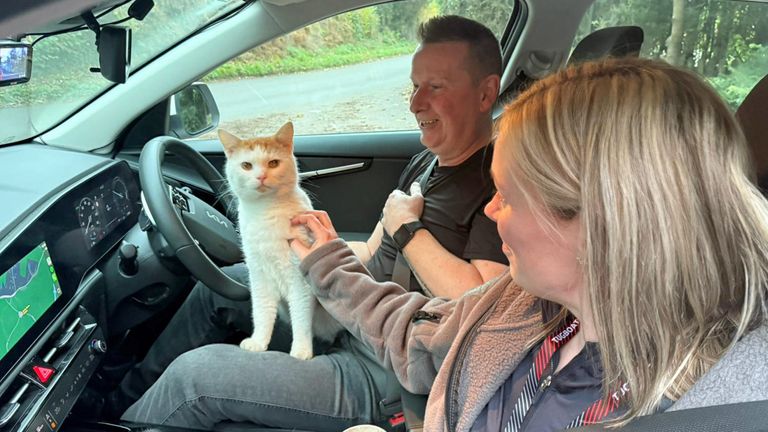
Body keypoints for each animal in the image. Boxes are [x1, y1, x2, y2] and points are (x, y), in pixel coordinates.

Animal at [218, 122, 340, 362]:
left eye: (273, 163)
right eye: (246, 165)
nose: (261, 176)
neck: (265, 212)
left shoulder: (300, 280)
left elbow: (301, 318)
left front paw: (301, 351)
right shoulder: (259, 276)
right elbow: (262, 312)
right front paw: (258, 342)